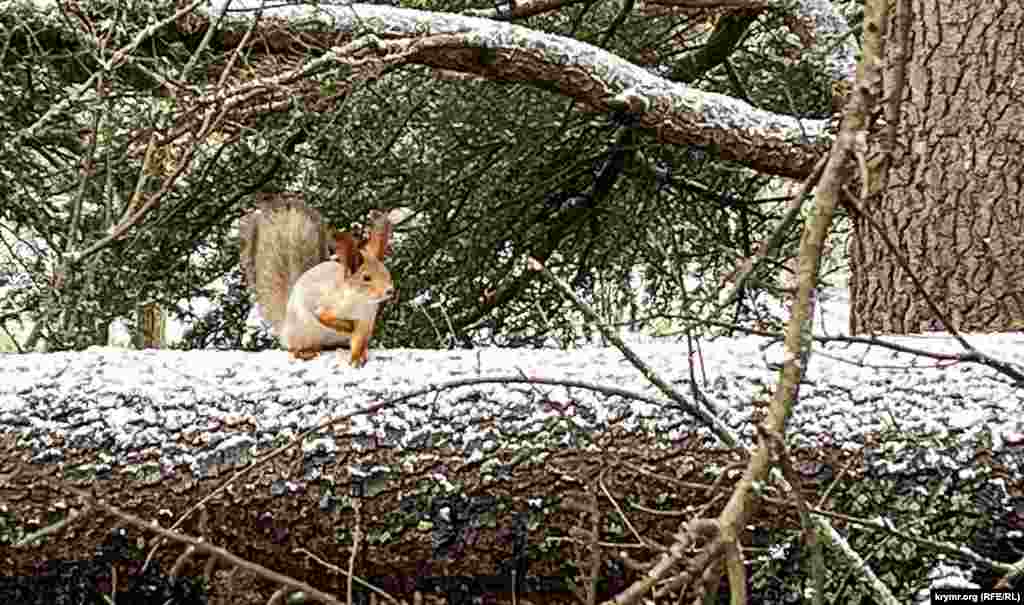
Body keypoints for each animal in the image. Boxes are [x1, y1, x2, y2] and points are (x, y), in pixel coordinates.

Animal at [239, 197, 395, 368]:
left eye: (387, 273)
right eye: (366, 278)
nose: (390, 290)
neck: (358, 300)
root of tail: (285, 329)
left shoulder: (366, 321)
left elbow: (358, 342)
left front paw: (356, 358)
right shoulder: (322, 304)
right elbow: (324, 317)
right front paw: (347, 326)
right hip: (302, 332)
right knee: (294, 349)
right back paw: (305, 352)